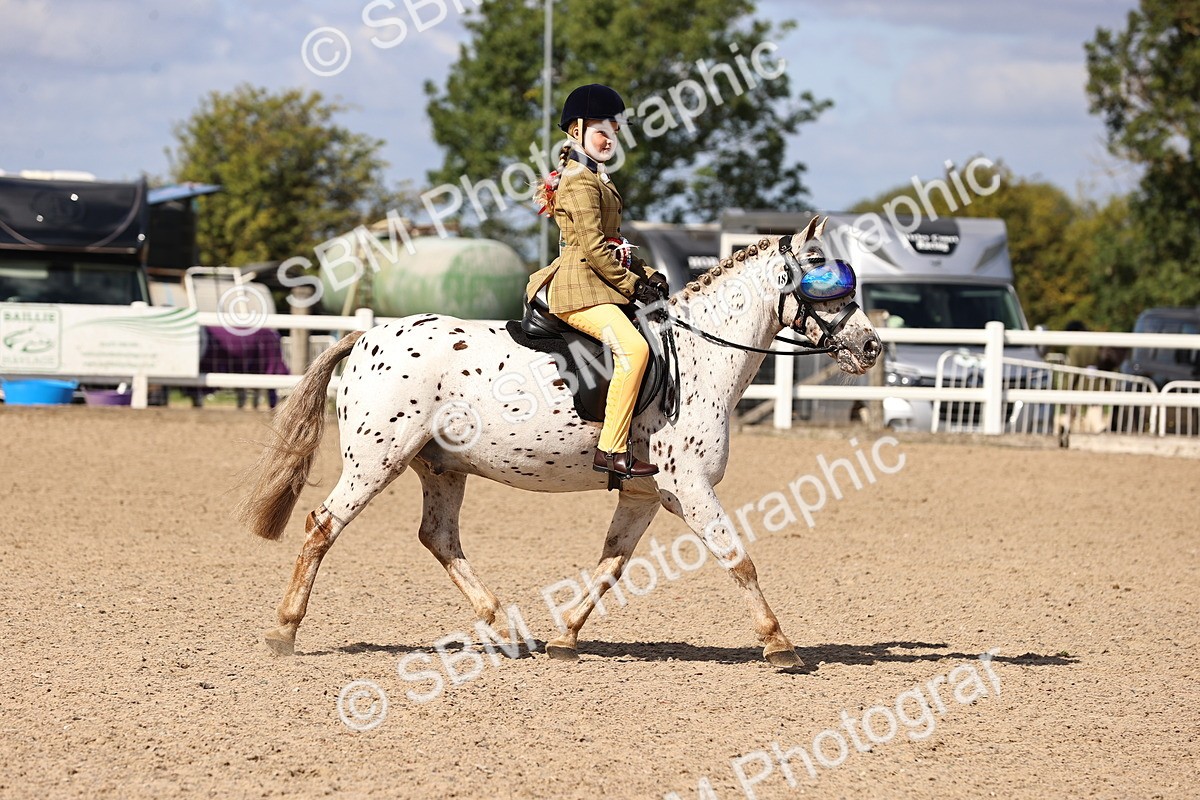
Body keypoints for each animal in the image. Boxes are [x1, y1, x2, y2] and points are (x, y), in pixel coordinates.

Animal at [236, 215, 882, 667]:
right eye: (819, 267)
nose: (871, 346)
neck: (699, 355)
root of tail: (368, 336)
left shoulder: (644, 495)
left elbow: (610, 566)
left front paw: (566, 637)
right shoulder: (691, 487)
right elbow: (738, 559)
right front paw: (781, 646)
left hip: (441, 468)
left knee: (438, 538)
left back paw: (505, 630)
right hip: (376, 461)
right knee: (322, 527)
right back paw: (284, 630)